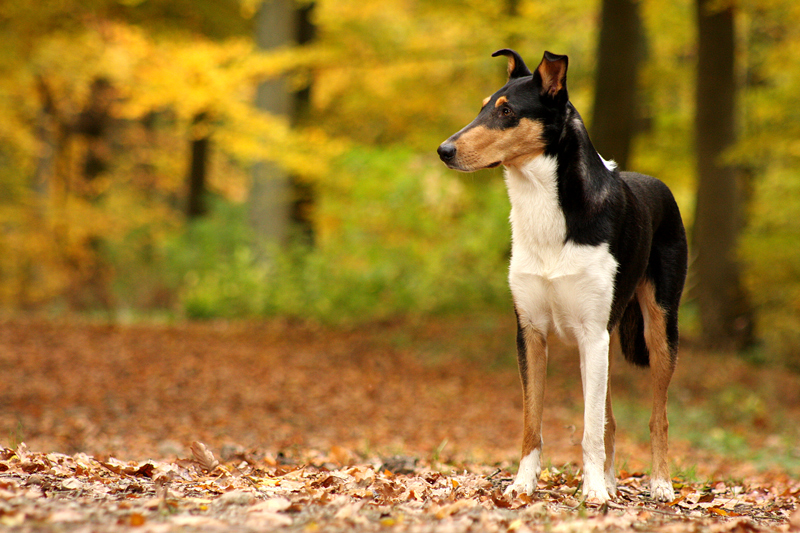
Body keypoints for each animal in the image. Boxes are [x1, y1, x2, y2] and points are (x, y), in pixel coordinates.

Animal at [438, 50, 688, 502]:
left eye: (507, 111)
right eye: (483, 106)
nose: (443, 150)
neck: (544, 208)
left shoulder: (591, 333)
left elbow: (589, 429)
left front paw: (593, 494)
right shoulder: (531, 331)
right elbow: (532, 420)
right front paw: (523, 484)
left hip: (659, 328)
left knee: (656, 414)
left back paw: (659, 484)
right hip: (603, 341)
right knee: (609, 419)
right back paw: (611, 480)